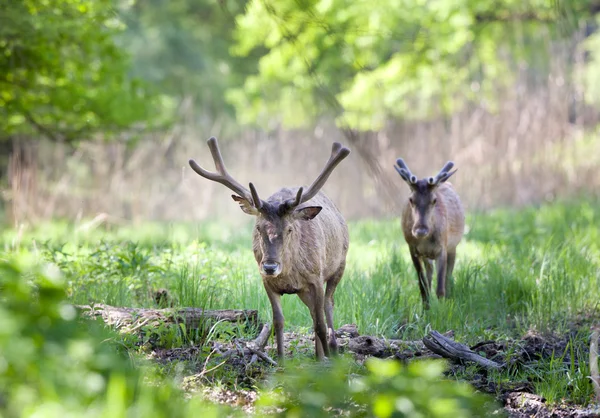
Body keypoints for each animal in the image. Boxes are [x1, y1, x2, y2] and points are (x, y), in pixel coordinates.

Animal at [189, 138, 352, 362]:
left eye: (290, 229)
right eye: (258, 228)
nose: (269, 266)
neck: (290, 274)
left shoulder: (316, 277)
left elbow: (319, 323)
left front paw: (324, 360)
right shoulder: (267, 282)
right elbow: (278, 321)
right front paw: (281, 360)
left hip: (340, 264)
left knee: (328, 305)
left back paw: (331, 348)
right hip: (305, 290)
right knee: (313, 311)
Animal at [396, 158, 466, 308]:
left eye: (434, 200)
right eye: (411, 199)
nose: (420, 230)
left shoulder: (442, 248)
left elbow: (440, 287)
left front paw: (442, 310)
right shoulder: (413, 250)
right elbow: (422, 286)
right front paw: (426, 309)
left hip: (453, 247)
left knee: (448, 277)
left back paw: (449, 299)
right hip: (427, 256)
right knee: (429, 275)